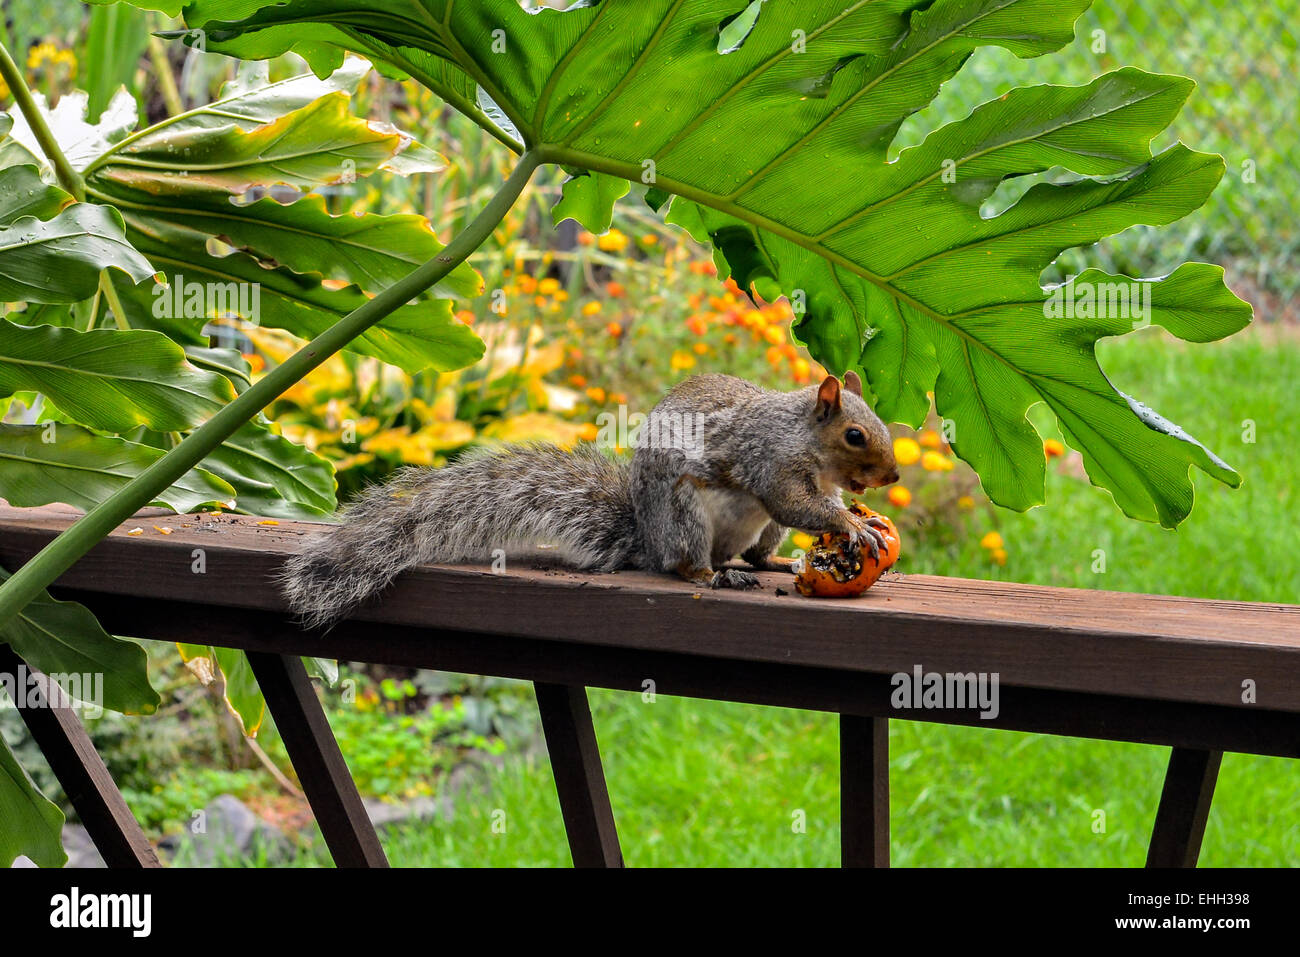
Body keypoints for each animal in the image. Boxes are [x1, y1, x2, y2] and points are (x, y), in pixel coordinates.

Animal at [280, 371, 899, 628]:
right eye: (855, 435)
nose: (892, 475)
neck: (802, 437)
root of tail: (647, 539)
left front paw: (851, 522)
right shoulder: (768, 462)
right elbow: (794, 504)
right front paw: (853, 527)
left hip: (752, 529)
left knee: (754, 548)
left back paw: (767, 562)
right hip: (684, 516)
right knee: (685, 564)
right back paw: (711, 575)